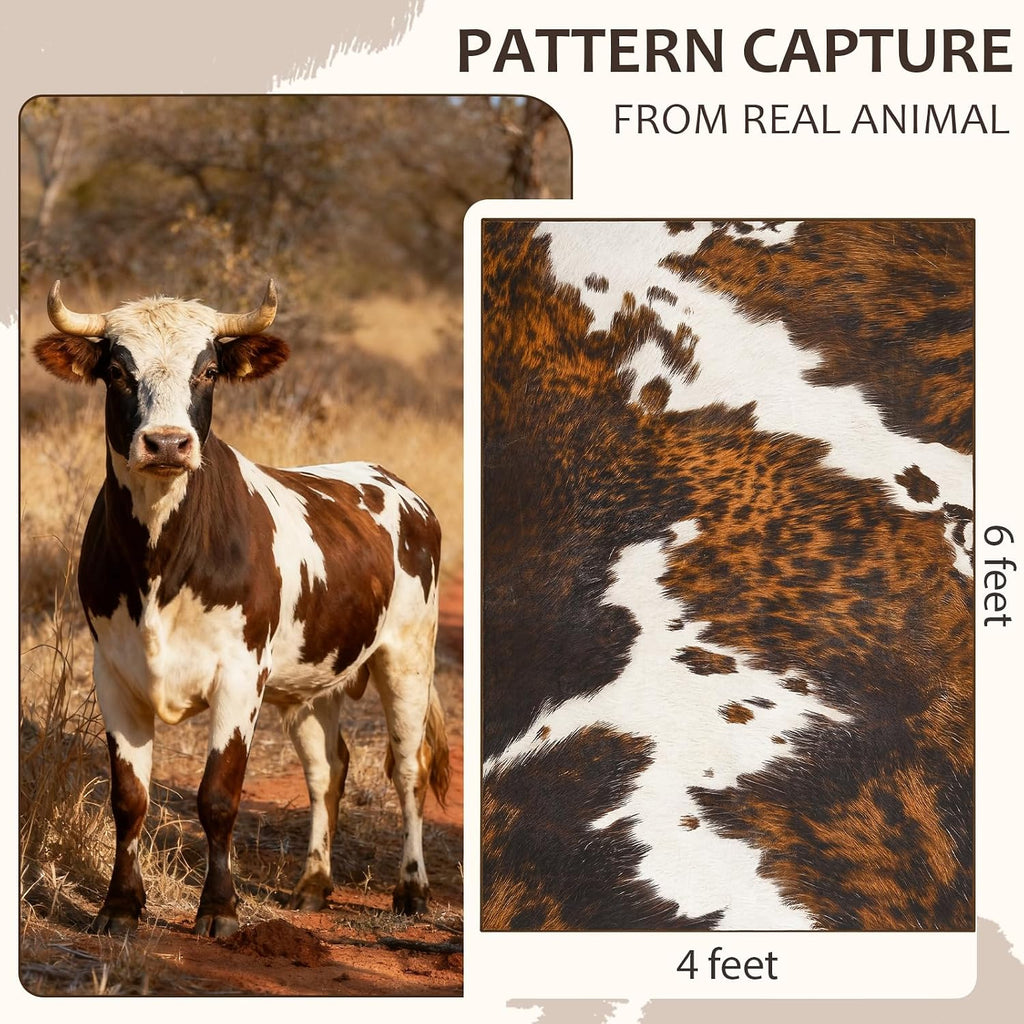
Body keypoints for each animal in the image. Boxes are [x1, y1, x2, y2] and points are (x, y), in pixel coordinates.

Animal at [33, 279, 450, 937]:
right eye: (118, 372)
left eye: (207, 371)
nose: (168, 443)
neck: (161, 559)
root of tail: (394, 484)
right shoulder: (114, 673)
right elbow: (129, 798)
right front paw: (119, 906)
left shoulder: (240, 675)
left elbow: (217, 796)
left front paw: (219, 909)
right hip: (312, 683)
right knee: (327, 770)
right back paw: (313, 885)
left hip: (408, 655)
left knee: (408, 767)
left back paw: (411, 890)